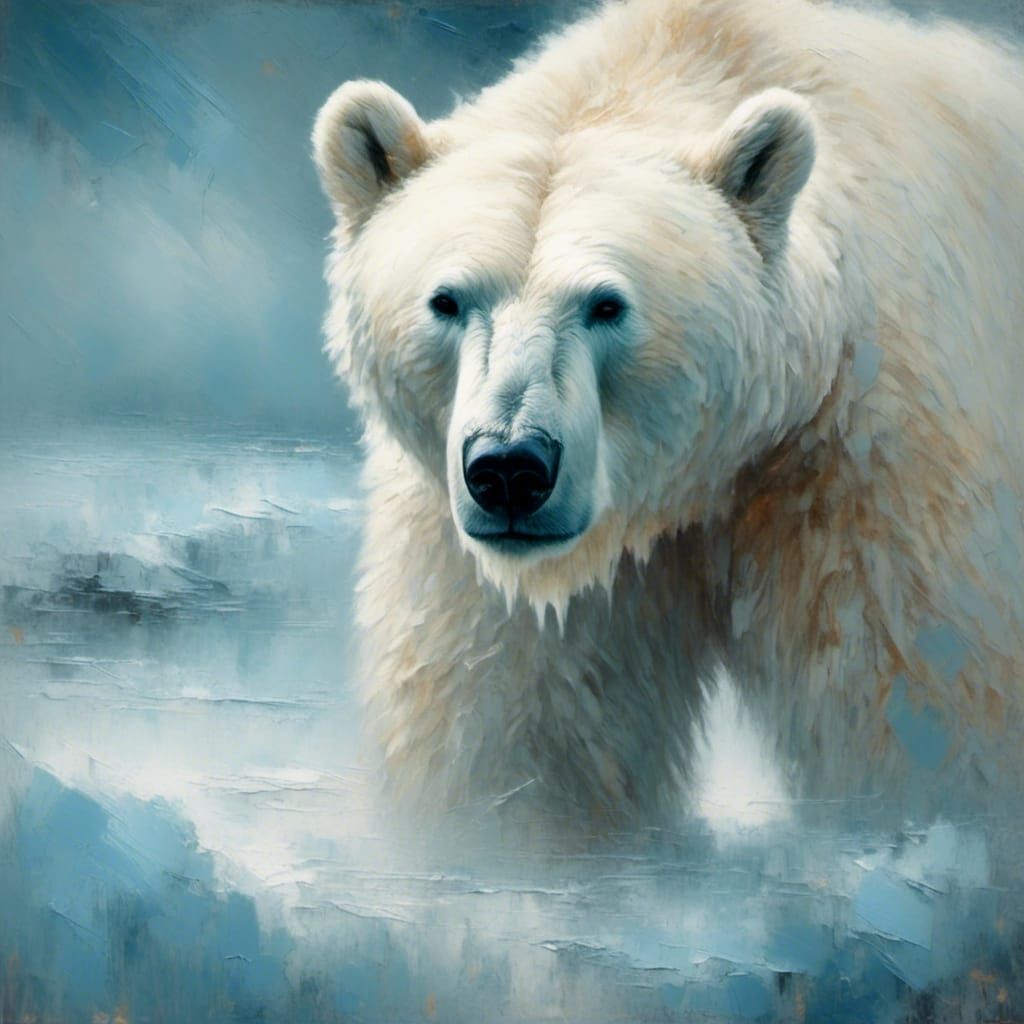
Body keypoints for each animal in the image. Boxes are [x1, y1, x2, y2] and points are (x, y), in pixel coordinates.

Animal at [312, 0, 1024, 834]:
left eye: (606, 303)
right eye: (448, 300)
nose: (511, 470)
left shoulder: (865, 459)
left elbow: (915, 699)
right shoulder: (477, 548)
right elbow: (516, 727)